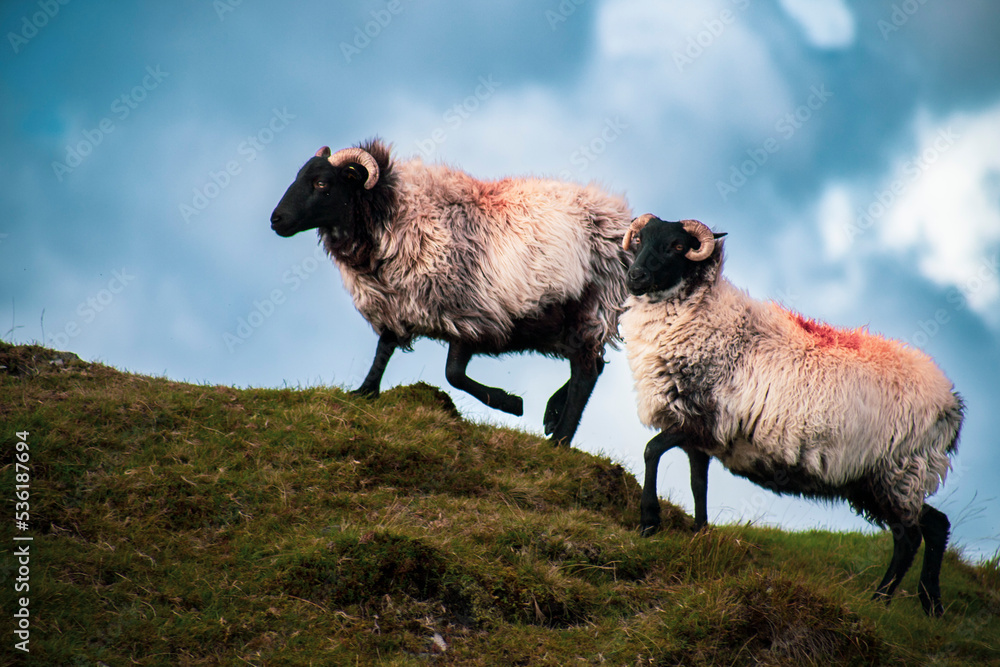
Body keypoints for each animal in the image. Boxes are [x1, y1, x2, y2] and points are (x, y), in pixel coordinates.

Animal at [269, 139, 633, 444]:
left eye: (322, 183)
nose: (276, 220)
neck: (392, 213)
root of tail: (620, 224)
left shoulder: (468, 309)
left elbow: (453, 374)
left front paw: (510, 403)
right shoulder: (398, 304)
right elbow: (383, 349)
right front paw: (365, 391)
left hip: (588, 308)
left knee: (585, 372)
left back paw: (559, 439)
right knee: (592, 364)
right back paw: (552, 416)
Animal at [619, 214, 964, 616]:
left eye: (676, 246)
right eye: (641, 238)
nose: (635, 277)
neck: (702, 315)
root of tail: (951, 407)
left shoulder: (699, 421)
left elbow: (651, 451)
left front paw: (649, 522)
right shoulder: (699, 436)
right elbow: (697, 484)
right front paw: (699, 535)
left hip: (896, 471)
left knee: (909, 536)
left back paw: (880, 600)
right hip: (881, 479)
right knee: (934, 525)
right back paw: (930, 604)